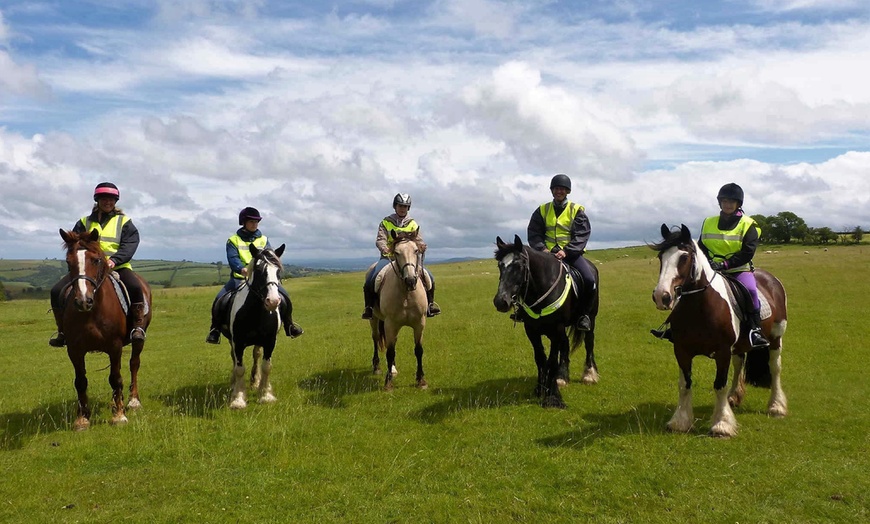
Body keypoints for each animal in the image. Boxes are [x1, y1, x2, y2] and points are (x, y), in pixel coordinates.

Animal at [58, 229, 153, 430]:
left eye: (96, 260)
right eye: (68, 262)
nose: (83, 301)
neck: (92, 312)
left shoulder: (114, 346)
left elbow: (115, 378)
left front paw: (119, 416)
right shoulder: (74, 350)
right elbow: (80, 381)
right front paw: (82, 418)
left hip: (138, 340)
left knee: (134, 363)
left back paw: (133, 401)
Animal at [370, 231, 430, 390]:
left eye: (416, 250)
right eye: (396, 253)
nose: (411, 280)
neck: (406, 294)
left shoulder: (419, 323)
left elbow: (418, 350)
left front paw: (421, 380)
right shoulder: (390, 324)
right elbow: (390, 352)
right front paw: (388, 382)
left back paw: (393, 368)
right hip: (374, 319)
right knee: (376, 338)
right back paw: (377, 367)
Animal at [494, 234, 604, 410]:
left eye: (519, 265)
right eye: (500, 265)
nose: (501, 301)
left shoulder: (556, 330)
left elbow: (552, 361)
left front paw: (553, 397)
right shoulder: (531, 330)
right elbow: (540, 359)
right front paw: (540, 388)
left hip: (590, 320)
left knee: (589, 343)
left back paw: (589, 374)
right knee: (565, 347)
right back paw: (562, 377)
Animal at [656, 223, 792, 436]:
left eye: (684, 257)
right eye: (660, 257)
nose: (661, 296)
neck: (699, 306)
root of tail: (770, 279)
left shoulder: (722, 352)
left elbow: (719, 385)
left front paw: (722, 425)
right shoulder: (682, 350)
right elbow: (685, 385)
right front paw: (680, 422)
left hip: (776, 339)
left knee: (775, 367)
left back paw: (776, 406)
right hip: (740, 346)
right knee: (738, 365)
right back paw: (734, 397)